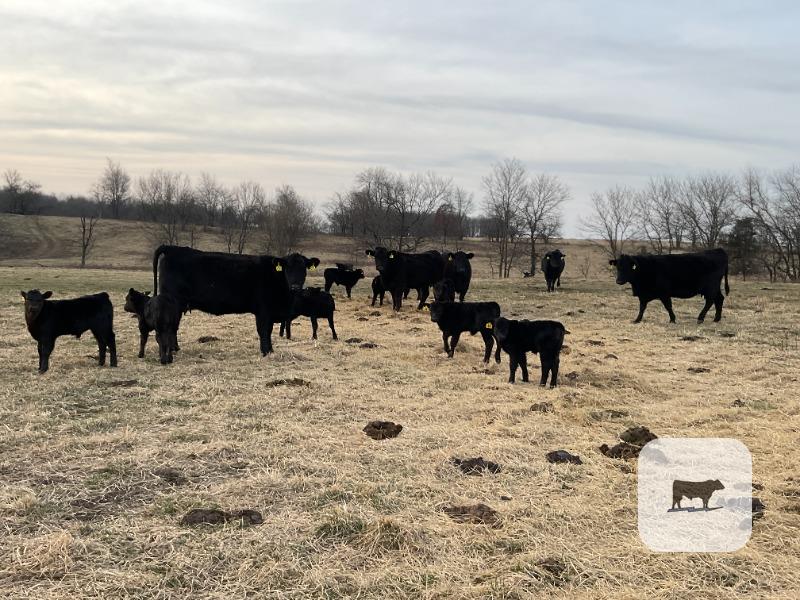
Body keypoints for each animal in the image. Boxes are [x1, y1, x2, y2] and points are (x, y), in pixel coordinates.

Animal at [153, 245, 320, 356]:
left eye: (304, 268)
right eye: (287, 268)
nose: (295, 286)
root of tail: (172, 248)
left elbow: (269, 331)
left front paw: (270, 350)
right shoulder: (263, 311)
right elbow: (263, 331)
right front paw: (266, 352)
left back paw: (175, 349)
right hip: (173, 302)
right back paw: (172, 350)